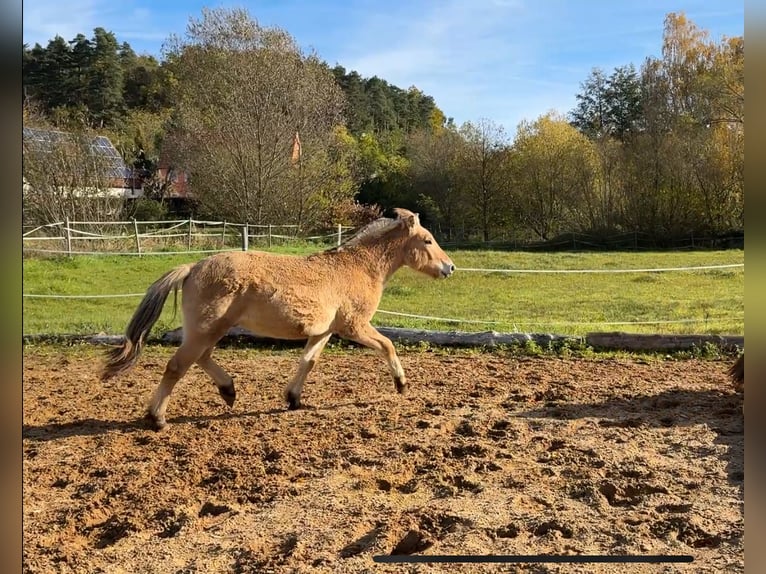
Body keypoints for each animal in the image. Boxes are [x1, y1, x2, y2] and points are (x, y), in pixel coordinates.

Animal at [101, 208, 455, 430]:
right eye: (427, 240)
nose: (450, 267)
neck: (357, 268)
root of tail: (192, 267)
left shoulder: (324, 331)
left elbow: (308, 362)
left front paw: (293, 399)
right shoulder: (354, 327)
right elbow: (388, 346)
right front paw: (401, 384)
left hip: (209, 330)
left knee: (200, 358)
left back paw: (229, 390)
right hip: (207, 329)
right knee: (178, 366)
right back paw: (158, 419)